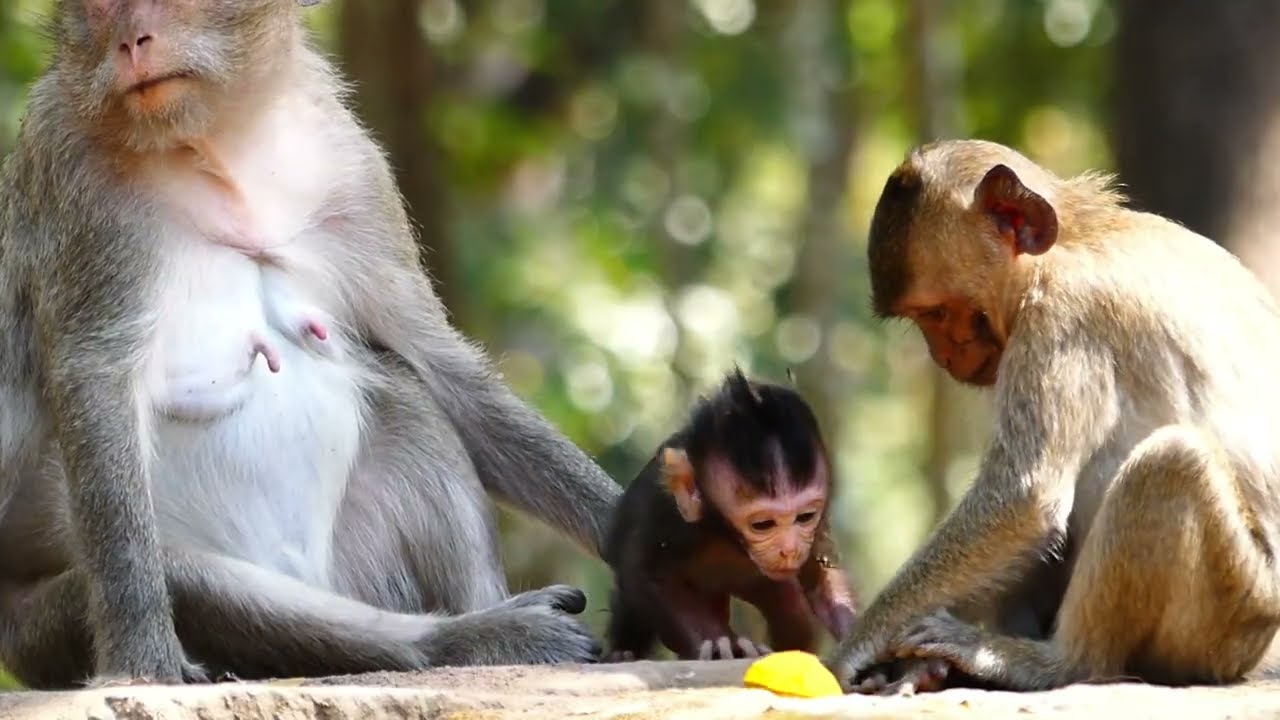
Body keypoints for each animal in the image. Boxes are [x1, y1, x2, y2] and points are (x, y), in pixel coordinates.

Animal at [0, 0, 624, 689]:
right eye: (98, 6)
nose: (132, 41)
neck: (215, 150)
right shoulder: (73, 184)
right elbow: (97, 383)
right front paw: (143, 663)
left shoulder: (352, 169)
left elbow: (442, 368)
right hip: (33, 630)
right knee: (188, 577)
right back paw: (461, 639)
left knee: (408, 400)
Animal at [602, 369, 858, 662]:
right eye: (762, 524)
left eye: (804, 517)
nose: (790, 550)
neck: (726, 537)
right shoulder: (665, 514)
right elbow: (647, 576)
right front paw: (720, 644)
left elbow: (820, 576)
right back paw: (623, 653)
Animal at [824, 138, 1280, 694]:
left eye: (935, 313)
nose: (942, 354)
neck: (1072, 240)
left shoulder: (1063, 318)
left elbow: (1023, 499)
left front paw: (847, 653)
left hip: (1233, 611)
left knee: (1171, 463)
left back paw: (1054, 662)